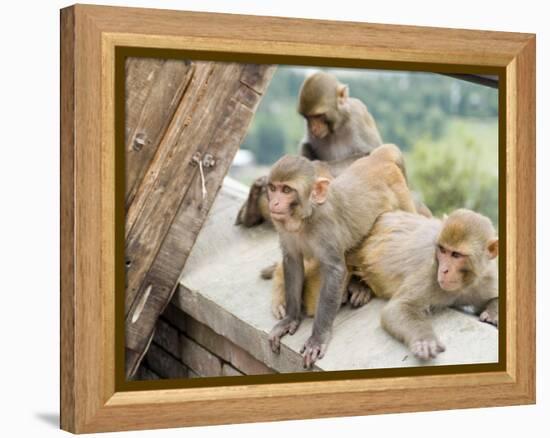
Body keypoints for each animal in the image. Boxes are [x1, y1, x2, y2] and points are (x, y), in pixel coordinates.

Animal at [236, 70, 384, 228]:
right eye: (308, 117)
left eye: (318, 116)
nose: (313, 128)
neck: (336, 127)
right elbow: (306, 146)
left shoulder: (358, 117)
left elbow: (371, 155)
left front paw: (318, 167)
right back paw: (251, 210)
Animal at [268, 145, 418, 368]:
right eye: (273, 188)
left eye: (286, 190)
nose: (275, 202)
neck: (306, 218)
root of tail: (378, 158)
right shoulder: (285, 230)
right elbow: (293, 261)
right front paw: (290, 319)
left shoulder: (326, 228)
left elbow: (335, 271)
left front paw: (318, 338)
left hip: (401, 195)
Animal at [270, 210, 500, 362]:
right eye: (442, 250)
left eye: (456, 255)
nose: (444, 270)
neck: (464, 284)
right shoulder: (430, 274)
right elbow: (397, 309)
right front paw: (424, 340)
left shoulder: (486, 278)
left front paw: (492, 313)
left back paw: (360, 287)